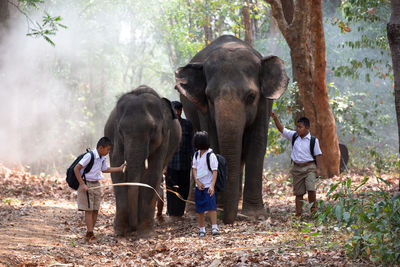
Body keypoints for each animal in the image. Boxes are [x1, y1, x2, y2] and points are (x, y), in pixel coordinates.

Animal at [105, 86, 182, 237]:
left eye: (153, 129)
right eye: (120, 130)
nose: (133, 228)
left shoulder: (164, 138)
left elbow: (152, 173)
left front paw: (145, 233)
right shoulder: (116, 139)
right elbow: (117, 171)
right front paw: (120, 231)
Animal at [175, 35, 288, 224]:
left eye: (251, 96)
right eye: (209, 97)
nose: (227, 219)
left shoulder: (264, 104)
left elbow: (257, 144)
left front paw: (255, 215)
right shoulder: (203, 109)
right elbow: (212, 142)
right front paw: (216, 206)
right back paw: (192, 211)